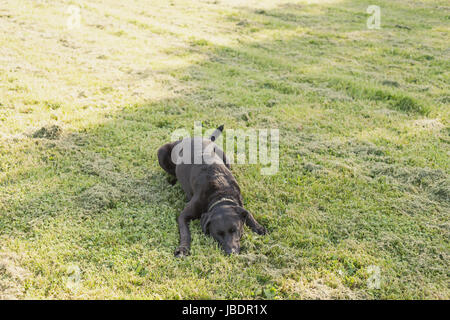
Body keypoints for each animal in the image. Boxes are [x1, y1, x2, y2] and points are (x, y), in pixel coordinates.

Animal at [157, 125, 268, 258]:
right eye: (218, 233)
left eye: (234, 230)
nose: (231, 253)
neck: (220, 194)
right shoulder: (183, 215)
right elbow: (185, 233)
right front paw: (183, 248)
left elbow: (247, 213)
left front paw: (258, 227)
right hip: (161, 152)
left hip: (225, 157)